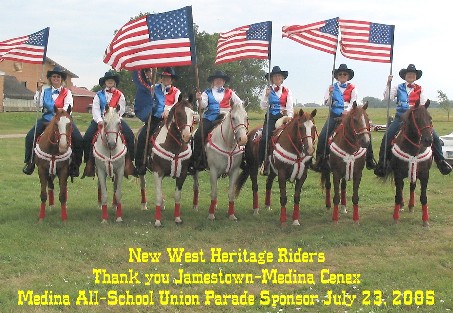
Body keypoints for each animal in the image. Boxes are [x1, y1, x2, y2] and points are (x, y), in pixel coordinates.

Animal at [149, 96, 193, 225]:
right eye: (178, 113)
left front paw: (177, 218)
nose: (187, 136)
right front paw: (157, 221)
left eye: (192, 113)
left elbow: (177, 196)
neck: (174, 148)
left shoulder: (182, 173)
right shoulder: (157, 172)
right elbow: (158, 196)